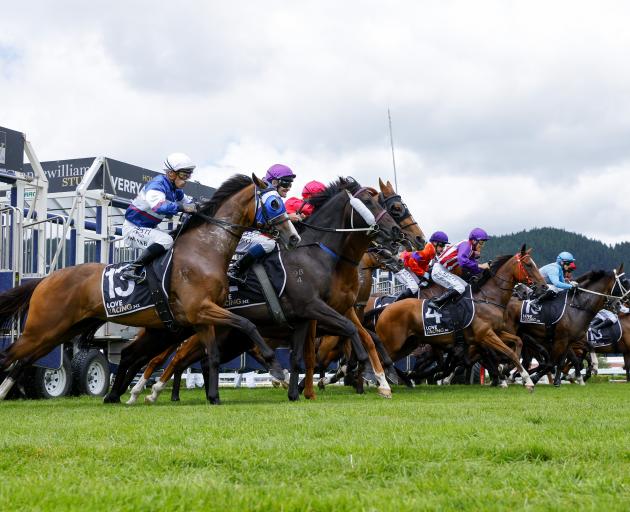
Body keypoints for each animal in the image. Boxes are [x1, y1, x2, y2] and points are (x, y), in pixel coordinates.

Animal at [0, 174, 302, 402]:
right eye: (274, 203)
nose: (293, 237)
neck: (204, 252)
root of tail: (45, 279)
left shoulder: (202, 318)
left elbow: (212, 354)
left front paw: (214, 397)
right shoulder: (201, 309)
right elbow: (247, 325)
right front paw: (276, 368)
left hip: (59, 331)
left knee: (24, 360)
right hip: (43, 327)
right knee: (10, 355)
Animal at [376, 248, 548, 392]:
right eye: (528, 265)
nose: (544, 287)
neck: (488, 298)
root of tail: (386, 308)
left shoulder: (495, 332)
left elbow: (517, 342)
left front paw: (512, 372)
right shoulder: (485, 335)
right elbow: (509, 352)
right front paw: (526, 380)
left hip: (408, 344)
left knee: (387, 361)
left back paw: (401, 380)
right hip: (393, 343)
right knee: (381, 359)